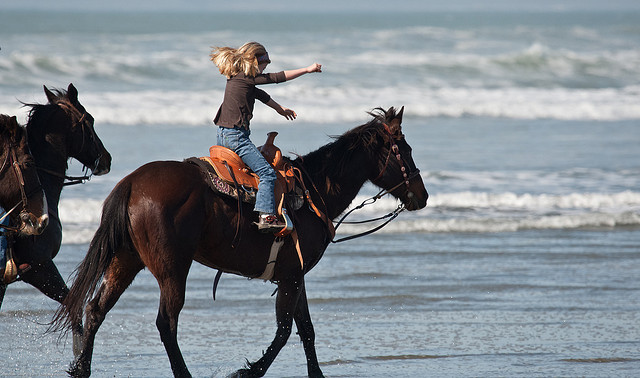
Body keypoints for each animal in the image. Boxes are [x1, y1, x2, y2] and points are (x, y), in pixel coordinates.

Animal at [53, 106, 424, 378]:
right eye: (404, 150)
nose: (422, 196)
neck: (314, 191)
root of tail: (131, 182)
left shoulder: (294, 276)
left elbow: (305, 329)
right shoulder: (290, 278)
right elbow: (285, 331)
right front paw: (248, 371)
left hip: (126, 260)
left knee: (96, 309)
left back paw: (81, 369)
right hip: (172, 269)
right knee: (166, 323)